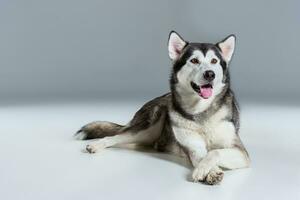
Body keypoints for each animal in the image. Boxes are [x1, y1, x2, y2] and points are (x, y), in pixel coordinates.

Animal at [75, 30, 251, 185]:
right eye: (194, 61)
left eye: (214, 61)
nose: (210, 74)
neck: (201, 111)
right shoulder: (193, 148)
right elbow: (203, 155)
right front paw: (209, 171)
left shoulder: (240, 152)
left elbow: (214, 151)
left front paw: (206, 170)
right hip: (147, 126)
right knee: (115, 136)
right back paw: (96, 145)